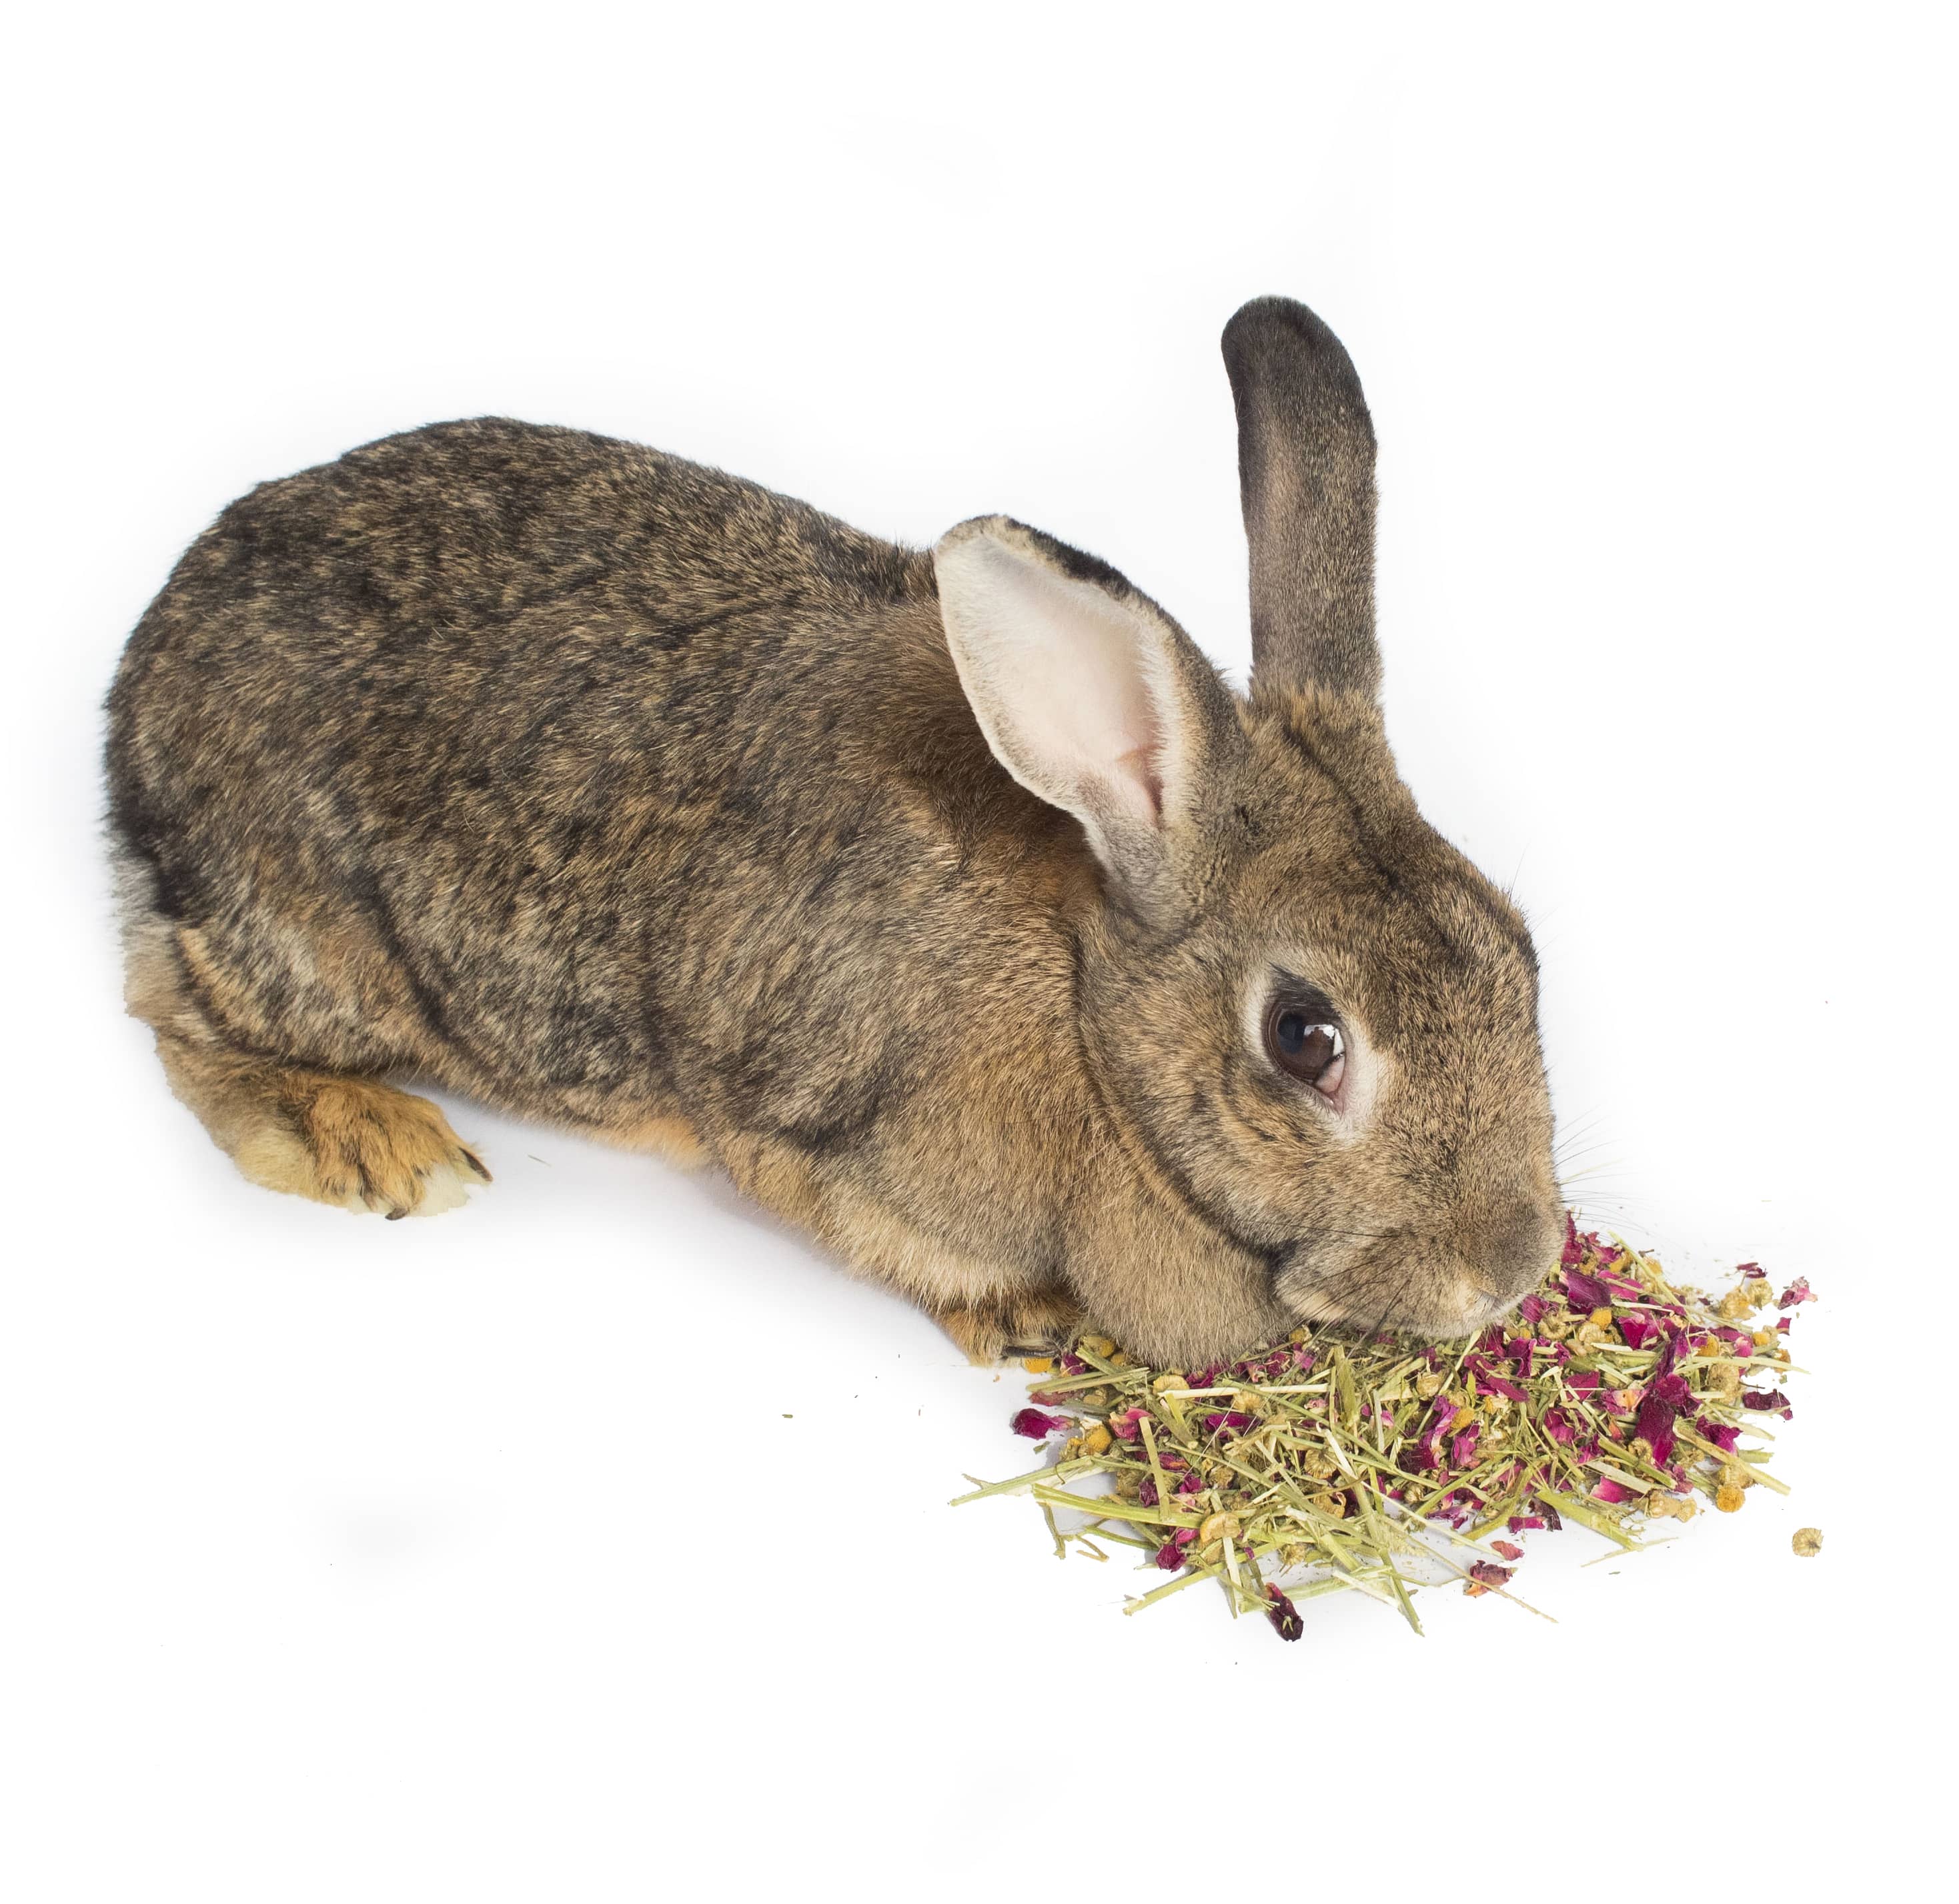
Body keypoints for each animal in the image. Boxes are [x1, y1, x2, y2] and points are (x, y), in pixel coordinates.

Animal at [104, 296, 1561, 1369]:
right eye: (1303, 1038)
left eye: (1517, 948)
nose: (1508, 1272)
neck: (1087, 1001)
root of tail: (145, 665)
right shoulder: (804, 1132)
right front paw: (1031, 1318)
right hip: (319, 948)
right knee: (172, 1012)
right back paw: (373, 1142)